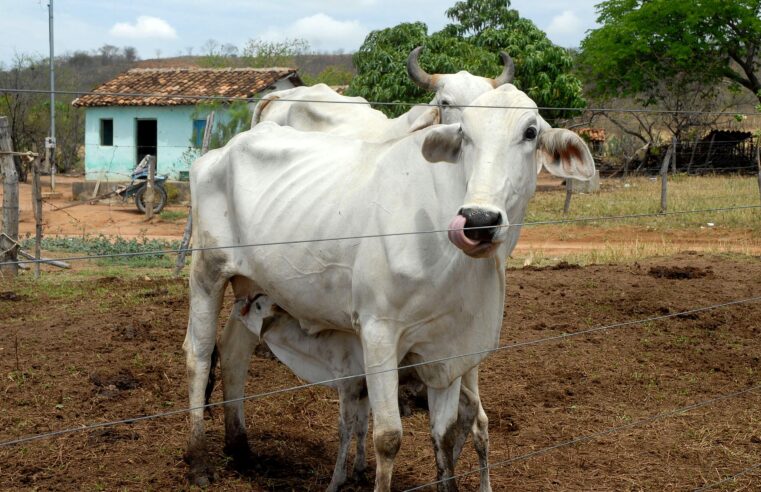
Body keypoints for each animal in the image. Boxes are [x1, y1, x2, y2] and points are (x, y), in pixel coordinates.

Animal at [184, 85, 592, 492]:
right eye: (464, 133)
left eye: (530, 132)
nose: (478, 221)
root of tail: (223, 150)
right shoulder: (378, 332)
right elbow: (388, 437)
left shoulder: (449, 351)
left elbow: (444, 435)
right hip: (207, 272)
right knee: (199, 356)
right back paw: (198, 461)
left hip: (253, 287)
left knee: (234, 352)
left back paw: (240, 449)